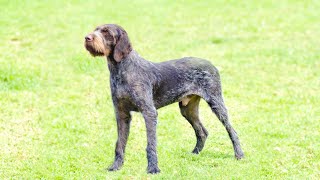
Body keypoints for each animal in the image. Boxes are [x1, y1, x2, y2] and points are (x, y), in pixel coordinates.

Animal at [84, 23, 244, 173]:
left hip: (216, 103)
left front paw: (153, 169)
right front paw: (116, 166)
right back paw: (194, 153)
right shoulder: (121, 114)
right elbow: (120, 144)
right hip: (187, 109)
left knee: (232, 130)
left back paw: (239, 154)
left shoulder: (149, 112)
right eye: (96, 29)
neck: (121, 70)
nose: (87, 37)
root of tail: (211, 64)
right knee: (202, 132)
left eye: (106, 32)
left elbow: (151, 144)